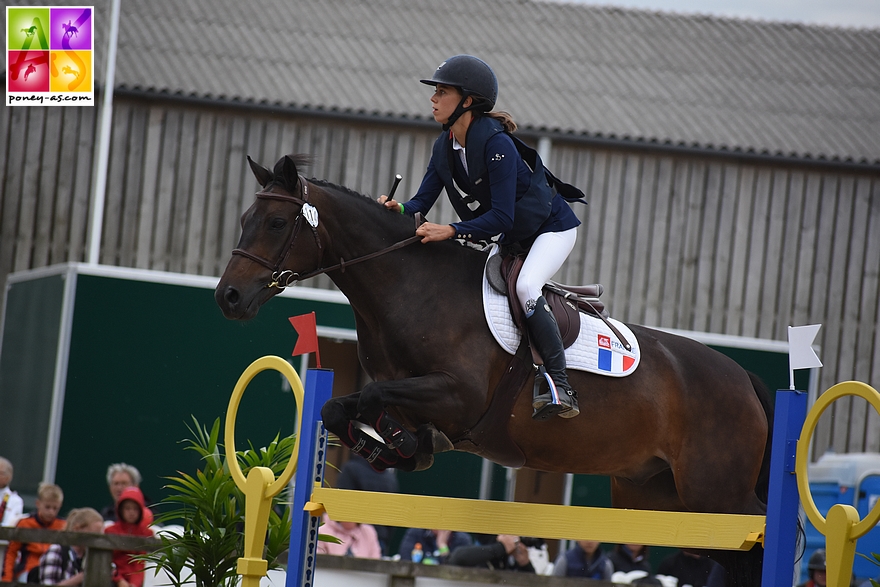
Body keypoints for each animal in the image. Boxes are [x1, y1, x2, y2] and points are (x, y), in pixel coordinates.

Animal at [217, 155, 772, 584]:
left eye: (275, 223)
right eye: (243, 218)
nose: (229, 298)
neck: (411, 288)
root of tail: (744, 378)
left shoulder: (457, 396)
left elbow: (376, 402)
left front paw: (402, 444)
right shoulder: (402, 388)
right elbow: (339, 408)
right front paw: (396, 446)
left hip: (718, 495)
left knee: (760, 537)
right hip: (654, 496)